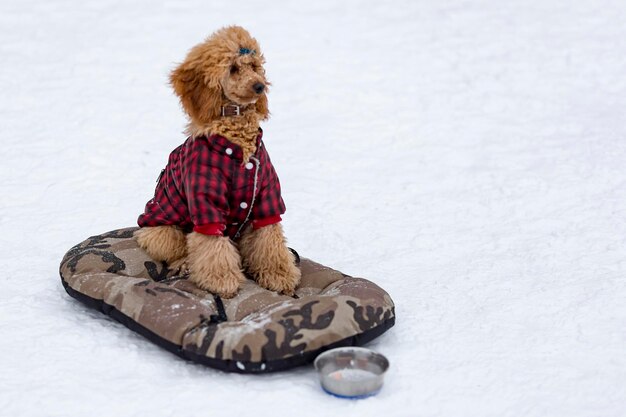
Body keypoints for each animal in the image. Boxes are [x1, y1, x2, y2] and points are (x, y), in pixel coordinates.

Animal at [135, 26, 302, 298]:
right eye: (233, 68)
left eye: (254, 65)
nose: (260, 86)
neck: (238, 147)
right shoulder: (206, 204)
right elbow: (212, 247)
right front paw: (222, 282)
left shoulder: (267, 199)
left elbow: (270, 240)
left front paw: (280, 275)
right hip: (160, 231)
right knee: (176, 250)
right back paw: (183, 264)